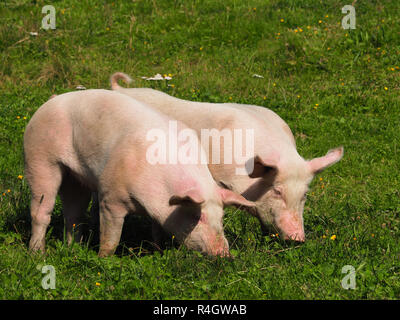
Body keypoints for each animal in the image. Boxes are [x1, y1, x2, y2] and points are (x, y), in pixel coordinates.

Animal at [25, 89, 255, 256]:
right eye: (197, 216)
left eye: (221, 217)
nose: (224, 254)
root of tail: (51, 100)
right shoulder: (111, 197)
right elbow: (111, 238)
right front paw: (103, 259)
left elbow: (157, 230)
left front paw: (158, 250)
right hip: (39, 157)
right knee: (40, 210)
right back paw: (38, 254)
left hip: (75, 176)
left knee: (73, 214)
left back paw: (74, 248)